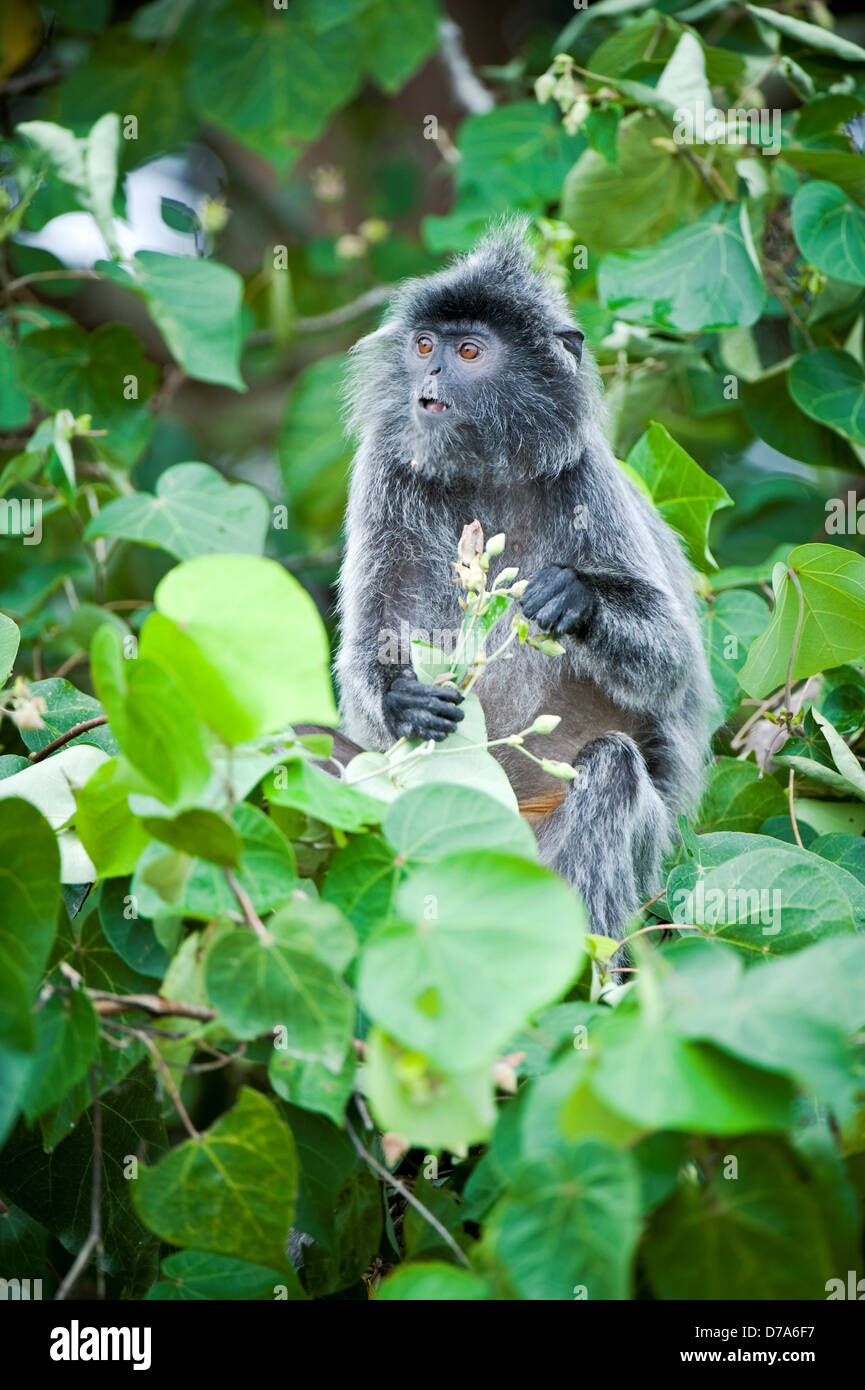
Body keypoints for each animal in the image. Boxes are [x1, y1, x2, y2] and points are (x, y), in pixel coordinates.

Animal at [333, 222, 717, 950]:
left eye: (468, 351)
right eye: (424, 346)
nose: (429, 375)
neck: (486, 468)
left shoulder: (586, 474)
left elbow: (674, 660)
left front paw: (574, 599)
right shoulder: (385, 472)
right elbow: (371, 647)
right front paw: (403, 703)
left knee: (613, 769)